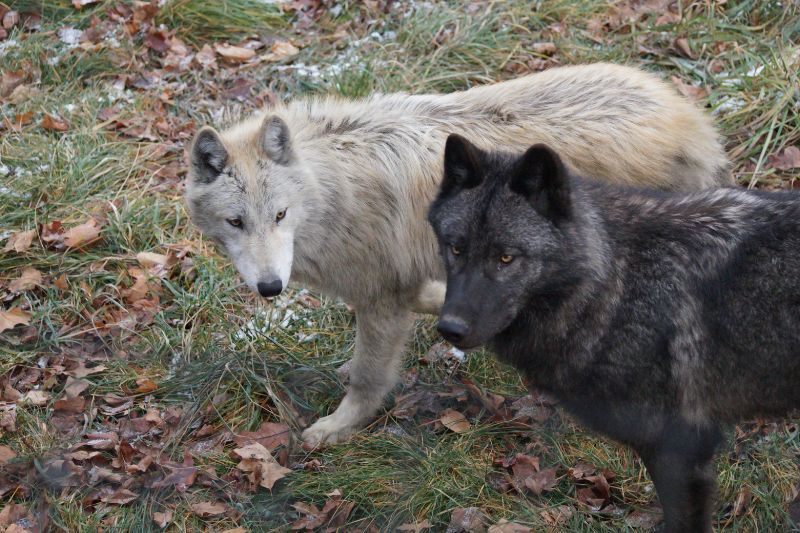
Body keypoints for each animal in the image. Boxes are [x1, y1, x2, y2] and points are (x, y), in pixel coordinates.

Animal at [185, 63, 732, 446]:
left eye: (279, 215)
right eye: (236, 222)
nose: (270, 287)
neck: (332, 191)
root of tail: (693, 121)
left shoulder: (381, 296)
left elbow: (367, 377)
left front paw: (339, 427)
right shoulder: (402, 284)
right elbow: (430, 301)